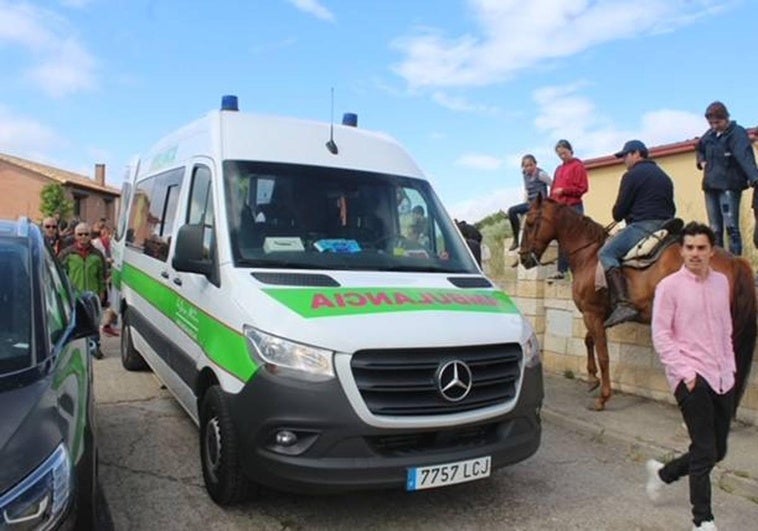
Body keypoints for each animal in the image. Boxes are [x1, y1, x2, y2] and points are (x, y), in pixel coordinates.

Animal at [520, 197, 756, 414]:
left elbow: (603, 354)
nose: (523, 259)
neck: (588, 255)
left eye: (530, 223)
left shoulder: (591, 313)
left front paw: (603, 397)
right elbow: (588, 341)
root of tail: (735, 261)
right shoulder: (599, 314)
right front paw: (592, 378)